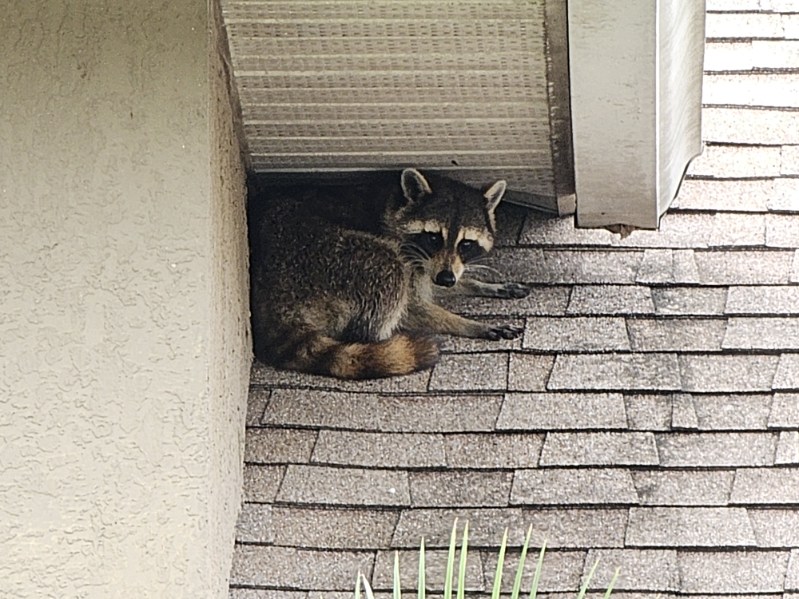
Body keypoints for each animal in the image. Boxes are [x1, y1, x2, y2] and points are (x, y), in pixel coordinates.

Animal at [249, 168, 531, 379]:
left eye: (466, 244)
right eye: (433, 238)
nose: (446, 278)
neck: (397, 204)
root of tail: (270, 292)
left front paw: (480, 284)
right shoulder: (404, 252)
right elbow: (413, 306)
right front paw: (468, 323)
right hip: (326, 258)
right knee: (387, 268)